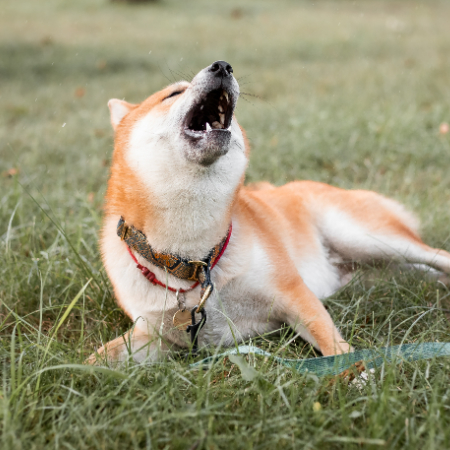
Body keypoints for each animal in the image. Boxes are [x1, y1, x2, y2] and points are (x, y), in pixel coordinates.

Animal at [87, 59, 450, 364]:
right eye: (173, 93)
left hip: (365, 237)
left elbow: (336, 350)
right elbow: (97, 359)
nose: (223, 66)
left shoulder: (294, 296)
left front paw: (358, 376)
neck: (196, 264)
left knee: (436, 255)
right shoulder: (154, 334)